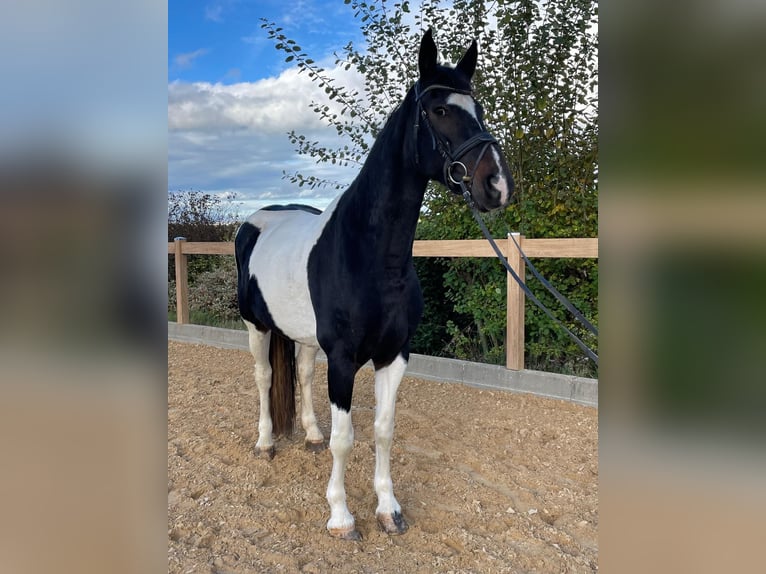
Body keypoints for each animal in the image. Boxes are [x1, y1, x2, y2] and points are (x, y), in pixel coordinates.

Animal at [235, 29, 514, 541]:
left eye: (479, 108)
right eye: (439, 110)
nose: (497, 185)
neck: (371, 257)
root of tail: (257, 220)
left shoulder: (395, 354)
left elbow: (384, 430)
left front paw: (388, 509)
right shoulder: (344, 359)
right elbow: (346, 439)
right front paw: (341, 517)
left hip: (304, 337)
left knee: (301, 374)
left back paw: (309, 434)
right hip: (256, 326)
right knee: (264, 378)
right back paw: (265, 443)